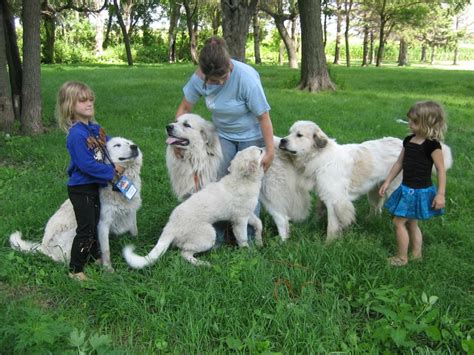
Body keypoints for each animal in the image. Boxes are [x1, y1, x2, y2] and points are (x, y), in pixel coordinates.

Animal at [8, 138, 143, 272]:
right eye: (117, 145)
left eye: (128, 142)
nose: (134, 147)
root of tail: (43, 247)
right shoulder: (103, 224)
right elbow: (106, 251)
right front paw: (108, 269)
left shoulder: (131, 213)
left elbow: (135, 231)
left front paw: (137, 246)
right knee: (65, 259)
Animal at [122, 146, 264, 268]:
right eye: (260, 151)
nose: (264, 147)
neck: (242, 179)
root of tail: (170, 227)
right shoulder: (239, 220)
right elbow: (243, 238)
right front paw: (248, 253)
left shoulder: (248, 214)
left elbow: (259, 223)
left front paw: (259, 241)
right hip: (208, 235)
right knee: (184, 253)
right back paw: (201, 263)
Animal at [165, 114, 312, 242]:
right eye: (176, 121)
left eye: (186, 124)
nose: (168, 126)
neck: (198, 156)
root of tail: (280, 144)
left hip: (270, 193)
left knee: (281, 218)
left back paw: (282, 242)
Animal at [280, 120, 454, 242]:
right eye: (289, 133)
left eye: (299, 135)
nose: (282, 140)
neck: (320, 157)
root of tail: (402, 144)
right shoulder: (325, 193)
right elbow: (319, 211)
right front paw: (314, 226)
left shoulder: (335, 199)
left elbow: (333, 224)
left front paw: (329, 243)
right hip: (376, 190)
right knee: (376, 208)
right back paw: (370, 221)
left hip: (394, 189)